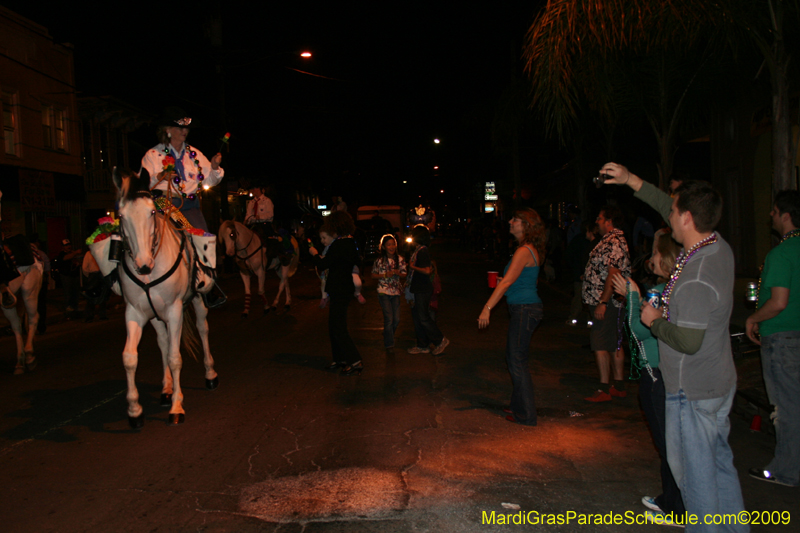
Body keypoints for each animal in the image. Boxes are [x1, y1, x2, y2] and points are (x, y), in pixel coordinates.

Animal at [112, 168, 217, 426]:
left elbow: (174, 357)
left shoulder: (174, 310)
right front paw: (134, 410)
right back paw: (167, 389)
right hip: (155, 316)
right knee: (162, 341)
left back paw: (210, 374)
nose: (143, 265)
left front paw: (177, 408)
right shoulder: (135, 312)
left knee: (203, 329)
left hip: (196, 301)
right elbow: (130, 358)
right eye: (121, 215)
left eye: (151, 212)